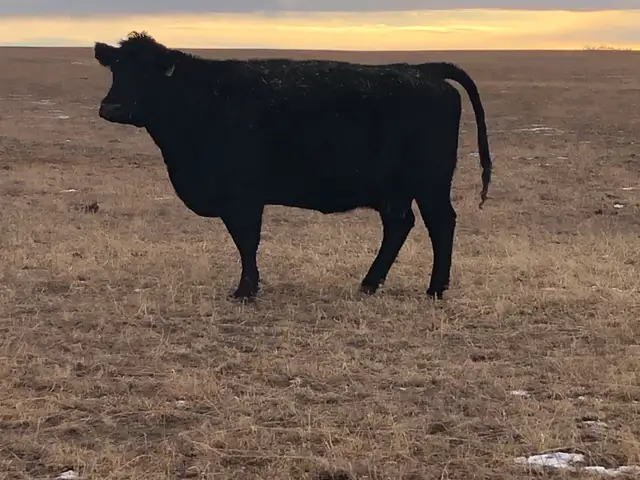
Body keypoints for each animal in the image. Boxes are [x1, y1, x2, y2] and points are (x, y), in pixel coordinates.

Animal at [93, 31, 492, 301]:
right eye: (116, 69)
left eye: (148, 74)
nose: (111, 108)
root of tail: (423, 70)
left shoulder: (243, 196)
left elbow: (246, 241)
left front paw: (245, 290)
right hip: (393, 190)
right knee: (400, 225)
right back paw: (369, 283)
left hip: (430, 183)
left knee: (441, 223)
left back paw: (435, 289)